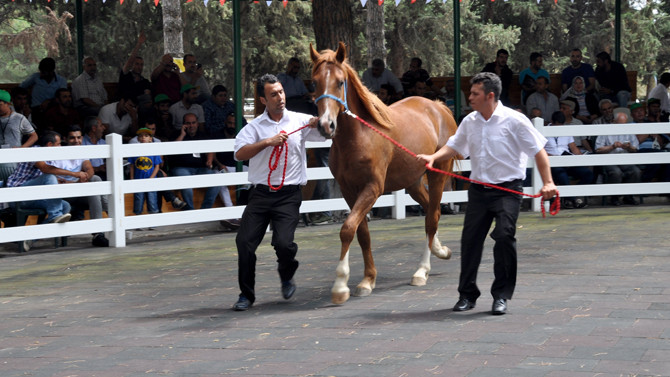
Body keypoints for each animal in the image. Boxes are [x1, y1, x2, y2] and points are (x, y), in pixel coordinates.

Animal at [312, 42, 460, 304]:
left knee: (432, 218)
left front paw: (340, 285)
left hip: (437, 174)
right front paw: (367, 280)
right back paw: (439, 250)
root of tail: (439, 106)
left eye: (340, 82)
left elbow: (347, 229)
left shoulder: (373, 188)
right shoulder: (349, 191)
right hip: (412, 182)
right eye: (314, 82)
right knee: (431, 211)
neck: (359, 136)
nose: (326, 125)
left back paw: (421, 270)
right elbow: (362, 233)